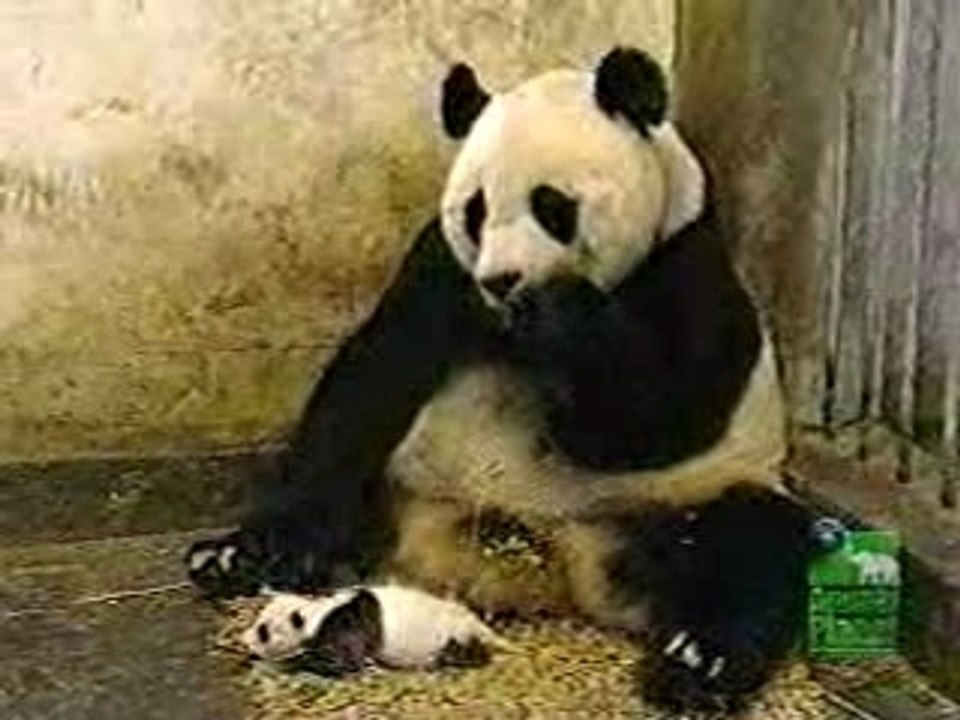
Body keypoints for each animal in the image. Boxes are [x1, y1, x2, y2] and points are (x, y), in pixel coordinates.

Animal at [187, 47, 817, 713]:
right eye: (476, 210)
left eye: (552, 205)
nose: (503, 280)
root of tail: (541, 567)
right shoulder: (440, 268)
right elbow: (371, 380)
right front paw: (255, 549)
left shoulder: (688, 267)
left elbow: (651, 424)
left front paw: (559, 309)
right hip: (404, 486)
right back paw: (239, 560)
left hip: (674, 501)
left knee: (749, 543)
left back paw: (697, 662)